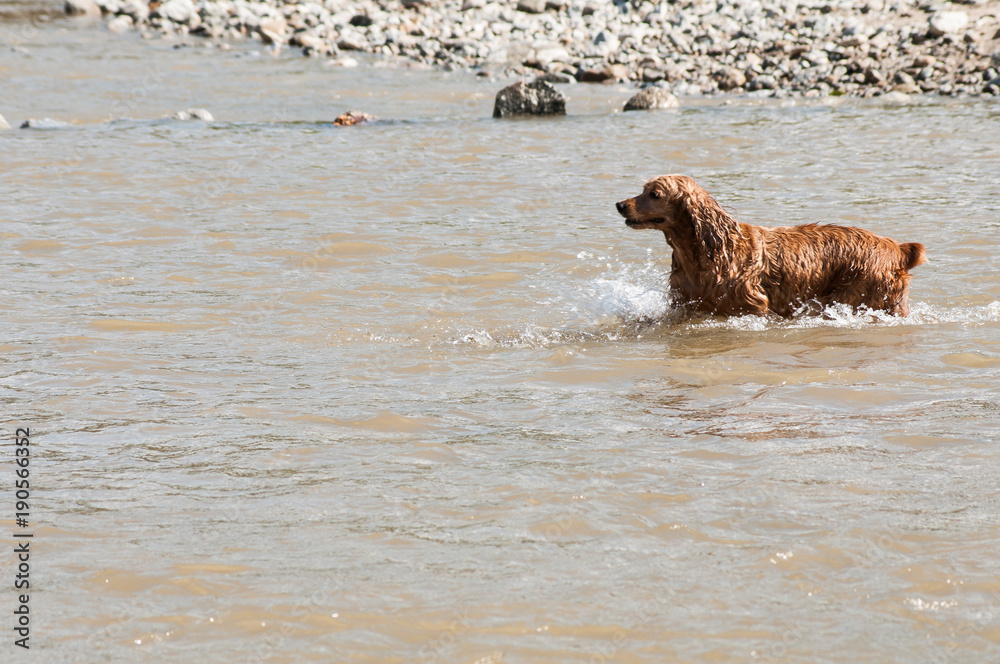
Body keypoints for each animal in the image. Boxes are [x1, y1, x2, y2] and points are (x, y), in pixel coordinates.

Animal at [616, 176, 928, 316]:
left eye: (655, 194)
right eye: (642, 190)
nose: (619, 204)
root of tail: (897, 248)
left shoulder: (751, 306)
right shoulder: (685, 303)